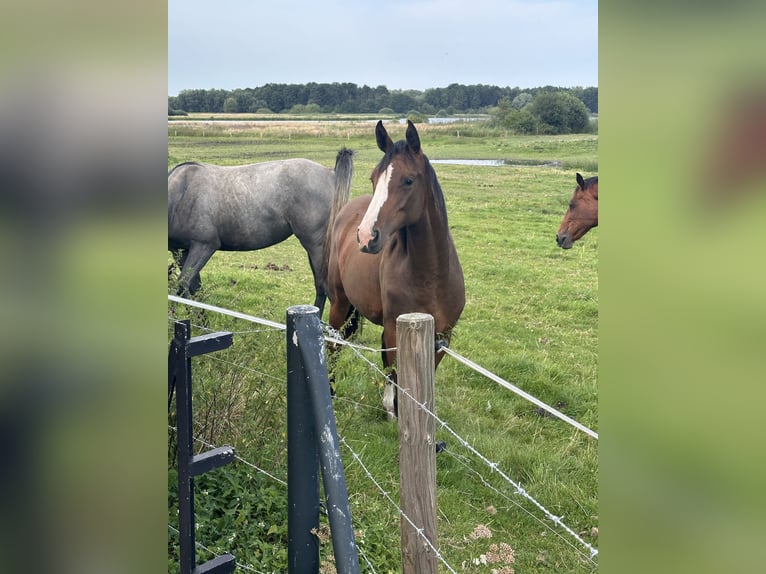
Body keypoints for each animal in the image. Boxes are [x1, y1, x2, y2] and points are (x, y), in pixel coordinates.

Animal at [168, 148, 354, 316]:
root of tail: (330, 173)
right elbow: (193, 289)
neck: (182, 193)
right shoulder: (181, 250)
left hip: (316, 247)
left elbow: (182, 286)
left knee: (324, 288)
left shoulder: (203, 247)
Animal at [328, 120, 464, 418]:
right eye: (373, 178)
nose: (366, 236)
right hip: (339, 303)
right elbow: (400, 374)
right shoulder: (396, 328)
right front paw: (397, 409)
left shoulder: (442, 337)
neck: (431, 276)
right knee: (333, 345)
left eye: (408, 180)